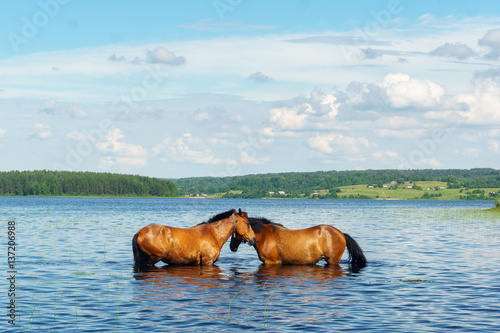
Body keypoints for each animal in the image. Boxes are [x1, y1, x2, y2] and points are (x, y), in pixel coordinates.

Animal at [230, 218, 368, 270]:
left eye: (233, 232)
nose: (232, 247)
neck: (264, 235)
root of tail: (341, 233)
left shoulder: (271, 262)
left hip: (332, 261)